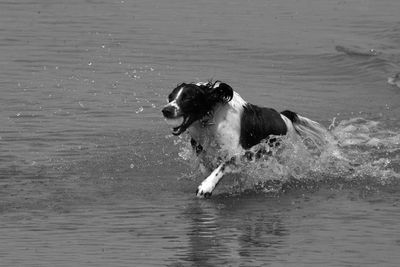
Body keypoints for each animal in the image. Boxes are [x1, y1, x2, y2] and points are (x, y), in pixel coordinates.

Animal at [162, 80, 328, 198]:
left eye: (187, 98)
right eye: (170, 97)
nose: (166, 110)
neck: (212, 118)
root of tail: (284, 116)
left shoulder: (242, 152)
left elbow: (223, 165)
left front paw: (206, 186)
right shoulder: (202, 150)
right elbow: (207, 166)